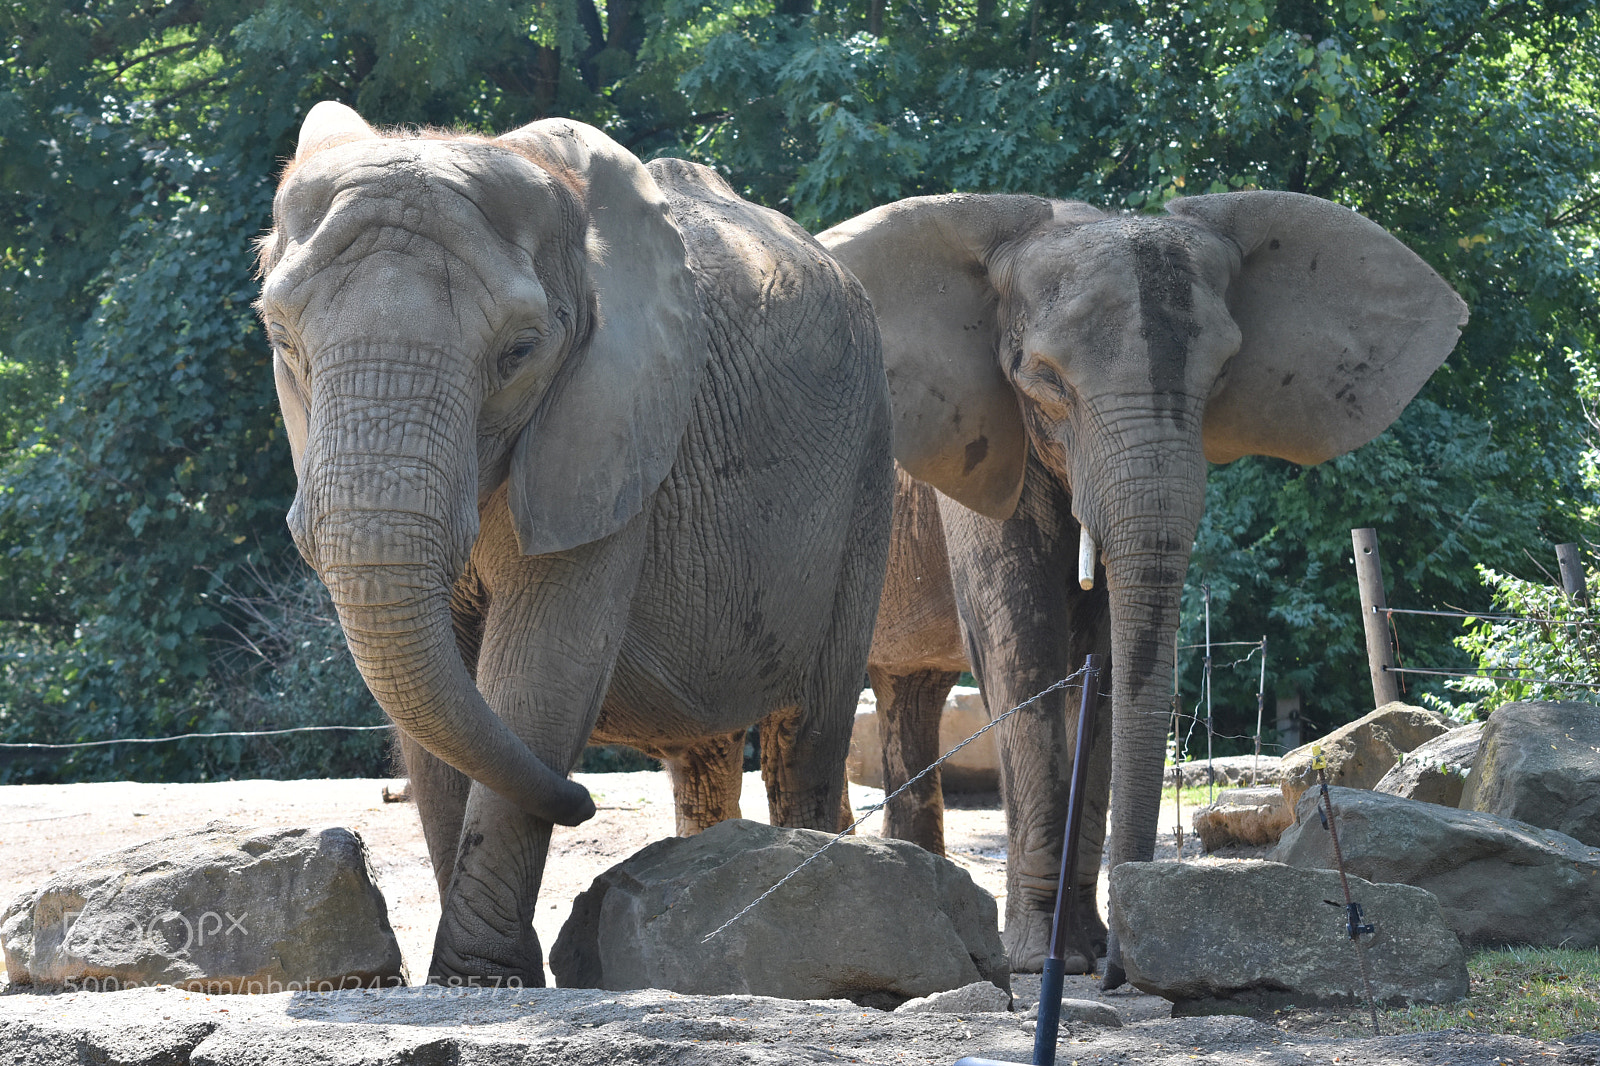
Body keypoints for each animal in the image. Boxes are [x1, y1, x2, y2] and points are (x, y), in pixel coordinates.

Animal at [256, 102, 893, 985]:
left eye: (520, 353)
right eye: (281, 338)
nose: (584, 804)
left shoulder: (611, 433)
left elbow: (538, 671)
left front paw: (482, 980)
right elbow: (439, 708)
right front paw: (481, 977)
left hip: (867, 466)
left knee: (810, 735)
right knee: (707, 759)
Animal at [822, 191, 1466, 981]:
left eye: (1221, 375)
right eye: (1044, 378)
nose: (1121, 968)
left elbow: (1099, 663)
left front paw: (1080, 952)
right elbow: (1023, 650)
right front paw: (1043, 964)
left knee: (907, 692)